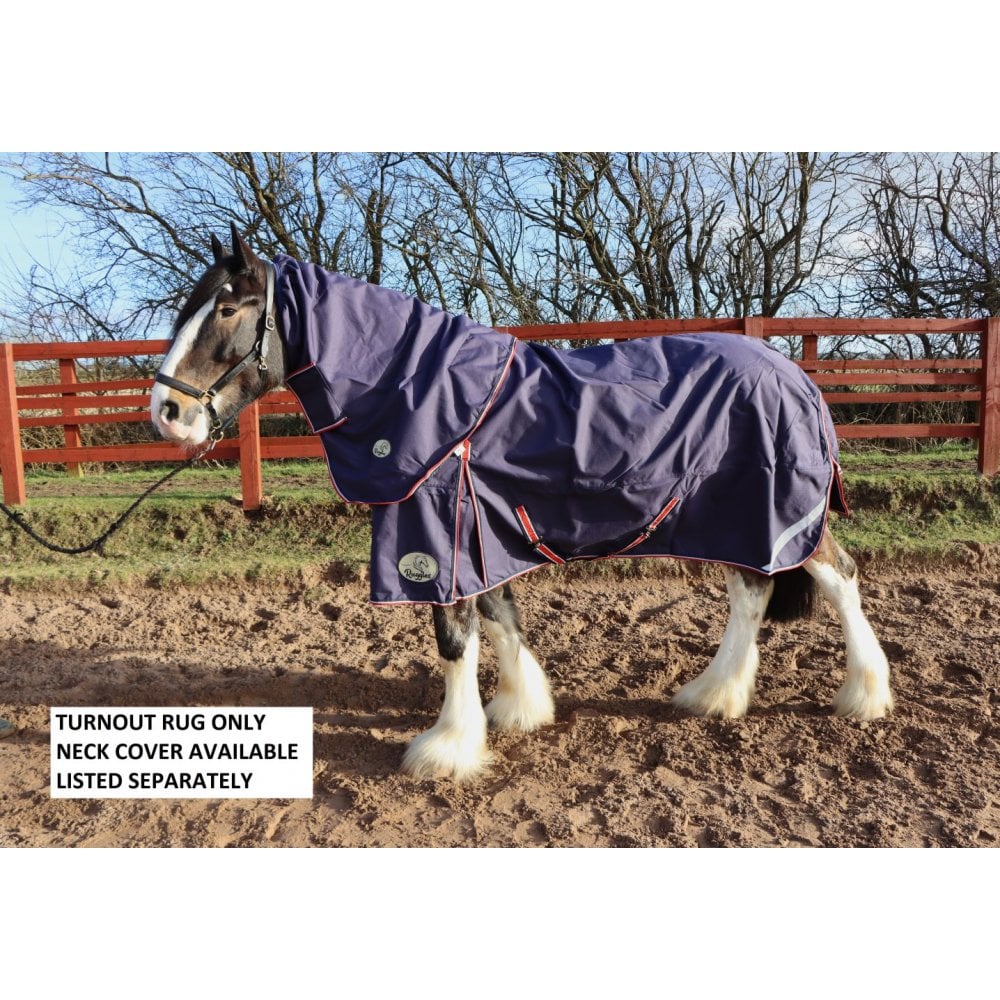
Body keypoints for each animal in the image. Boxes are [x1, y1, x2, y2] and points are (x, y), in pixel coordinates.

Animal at [150, 224, 893, 781]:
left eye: (226, 309)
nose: (165, 412)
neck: (422, 390)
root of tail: (797, 377)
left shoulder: (437, 531)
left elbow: (455, 636)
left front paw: (447, 748)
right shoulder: (481, 530)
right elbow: (500, 617)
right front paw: (518, 709)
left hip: (779, 511)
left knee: (839, 578)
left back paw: (864, 695)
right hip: (735, 519)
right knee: (752, 593)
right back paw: (716, 695)